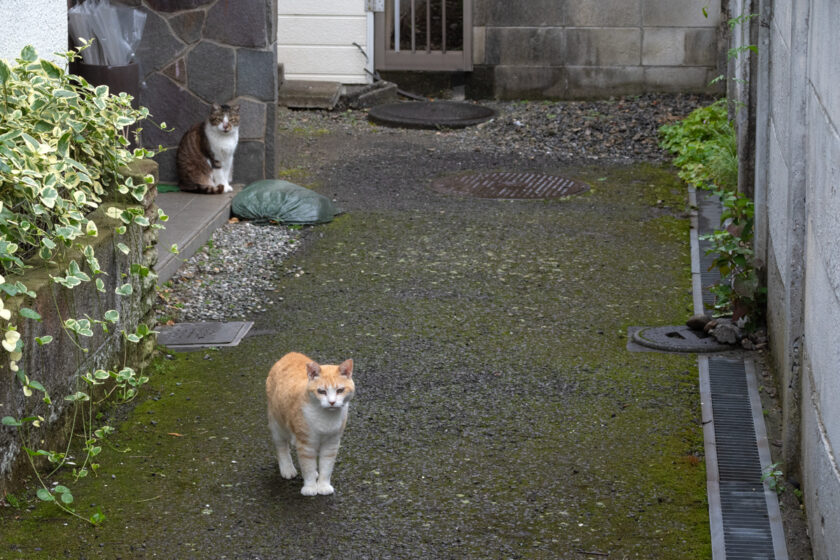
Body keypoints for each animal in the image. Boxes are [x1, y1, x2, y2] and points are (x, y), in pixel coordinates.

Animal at [264, 352, 352, 496]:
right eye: (321, 391)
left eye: (340, 390)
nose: (332, 402)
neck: (325, 418)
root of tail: (291, 354)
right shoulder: (306, 444)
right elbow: (307, 467)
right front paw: (310, 487)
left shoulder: (331, 444)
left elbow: (326, 467)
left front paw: (323, 486)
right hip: (277, 425)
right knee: (282, 447)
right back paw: (287, 468)